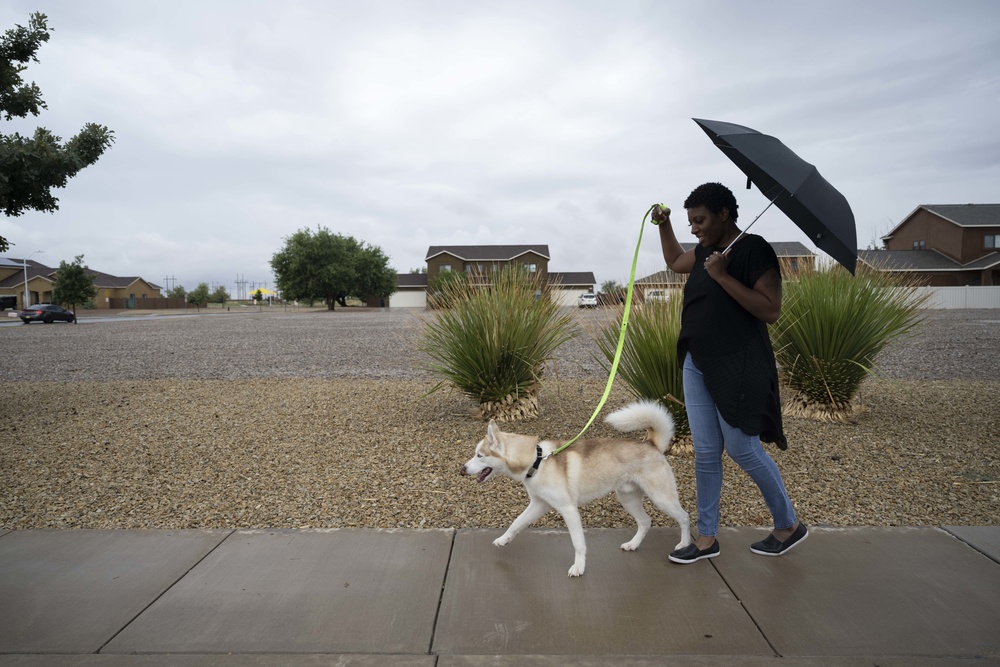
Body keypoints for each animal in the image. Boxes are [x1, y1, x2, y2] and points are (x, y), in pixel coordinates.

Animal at [462, 402, 692, 580]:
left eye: (479, 455)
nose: (462, 469)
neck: (537, 461)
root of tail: (652, 444)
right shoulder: (538, 505)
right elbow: (516, 523)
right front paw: (504, 540)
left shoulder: (568, 510)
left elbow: (578, 543)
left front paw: (579, 567)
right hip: (628, 499)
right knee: (645, 522)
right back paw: (633, 544)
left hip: (661, 498)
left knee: (684, 517)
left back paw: (684, 544)